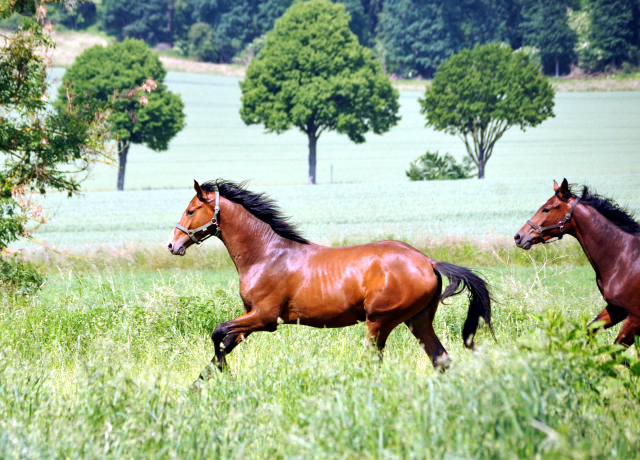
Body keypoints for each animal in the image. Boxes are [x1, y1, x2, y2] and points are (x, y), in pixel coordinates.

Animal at [168, 178, 492, 386]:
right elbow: (224, 343)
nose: (173, 245)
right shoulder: (250, 317)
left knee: (373, 361)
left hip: (380, 321)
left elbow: (218, 334)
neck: (267, 254)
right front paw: (197, 387)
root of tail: (428, 262)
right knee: (441, 359)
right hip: (418, 320)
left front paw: (227, 378)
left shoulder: (265, 318)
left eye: (191, 210)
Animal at [516, 180, 640, 348]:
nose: (518, 236)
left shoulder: (634, 318)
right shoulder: (616, 309)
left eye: (546, 209)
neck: (625, 258)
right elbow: (588, 331)